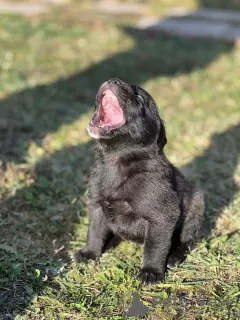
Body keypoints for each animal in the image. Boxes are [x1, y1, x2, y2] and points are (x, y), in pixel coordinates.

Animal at [73, 79, 204, 284]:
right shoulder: (97, 206)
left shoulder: (162, 217)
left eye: (140, 98)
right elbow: (94, 232)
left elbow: (154, 247)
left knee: (189, 239)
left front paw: (151, 272)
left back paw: (175, 256)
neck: (116, 161)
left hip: (195, 206)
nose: (113, 80)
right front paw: (90, 254)